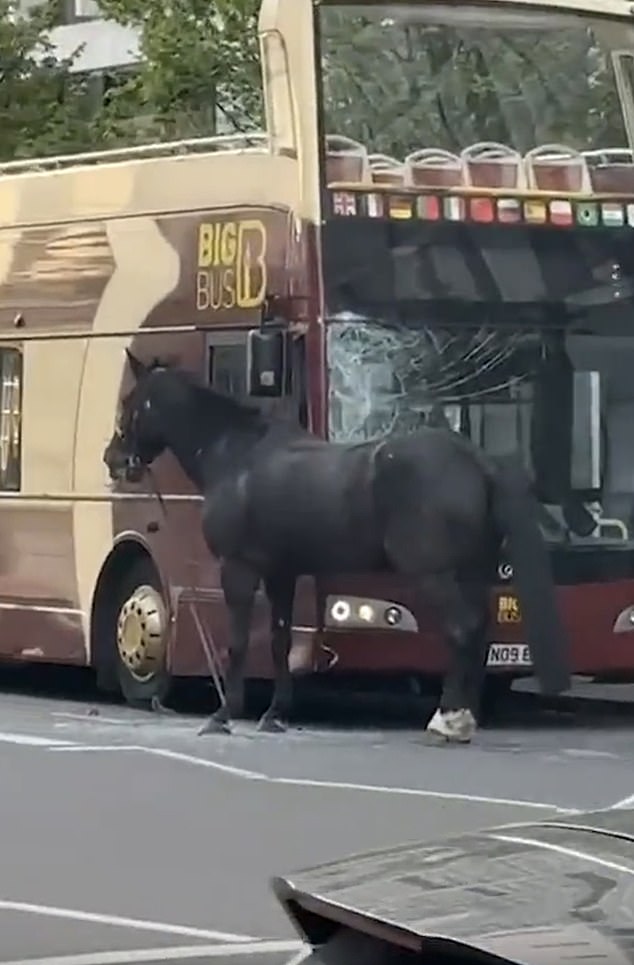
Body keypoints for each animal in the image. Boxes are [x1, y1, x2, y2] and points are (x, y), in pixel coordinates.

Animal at [102, 350, 568, 740]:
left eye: (129, 402)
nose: (113, 459)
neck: (237, 456)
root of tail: (479, 461)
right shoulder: (282, 572)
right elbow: (280, 639)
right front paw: (275, 714)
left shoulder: (239, 569)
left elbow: (237, 641)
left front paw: (223, 715)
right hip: (473, 571)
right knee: (479, 631)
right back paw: (466, 714)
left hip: (433, 573)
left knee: (462, 628)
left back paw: (447, 719)